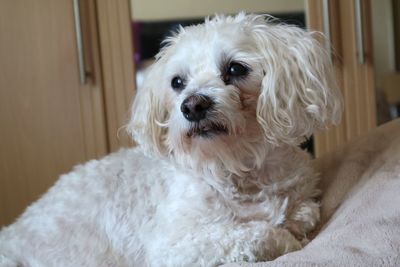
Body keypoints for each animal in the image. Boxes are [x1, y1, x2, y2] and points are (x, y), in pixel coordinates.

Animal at [1, 13, 342, 266]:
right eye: (177, 82)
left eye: (235, 68)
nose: (192, 106)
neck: (238, 167)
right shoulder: (176, 247)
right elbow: (259, 234)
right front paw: (285, 239)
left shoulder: (303, 202)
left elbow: (302, 214)